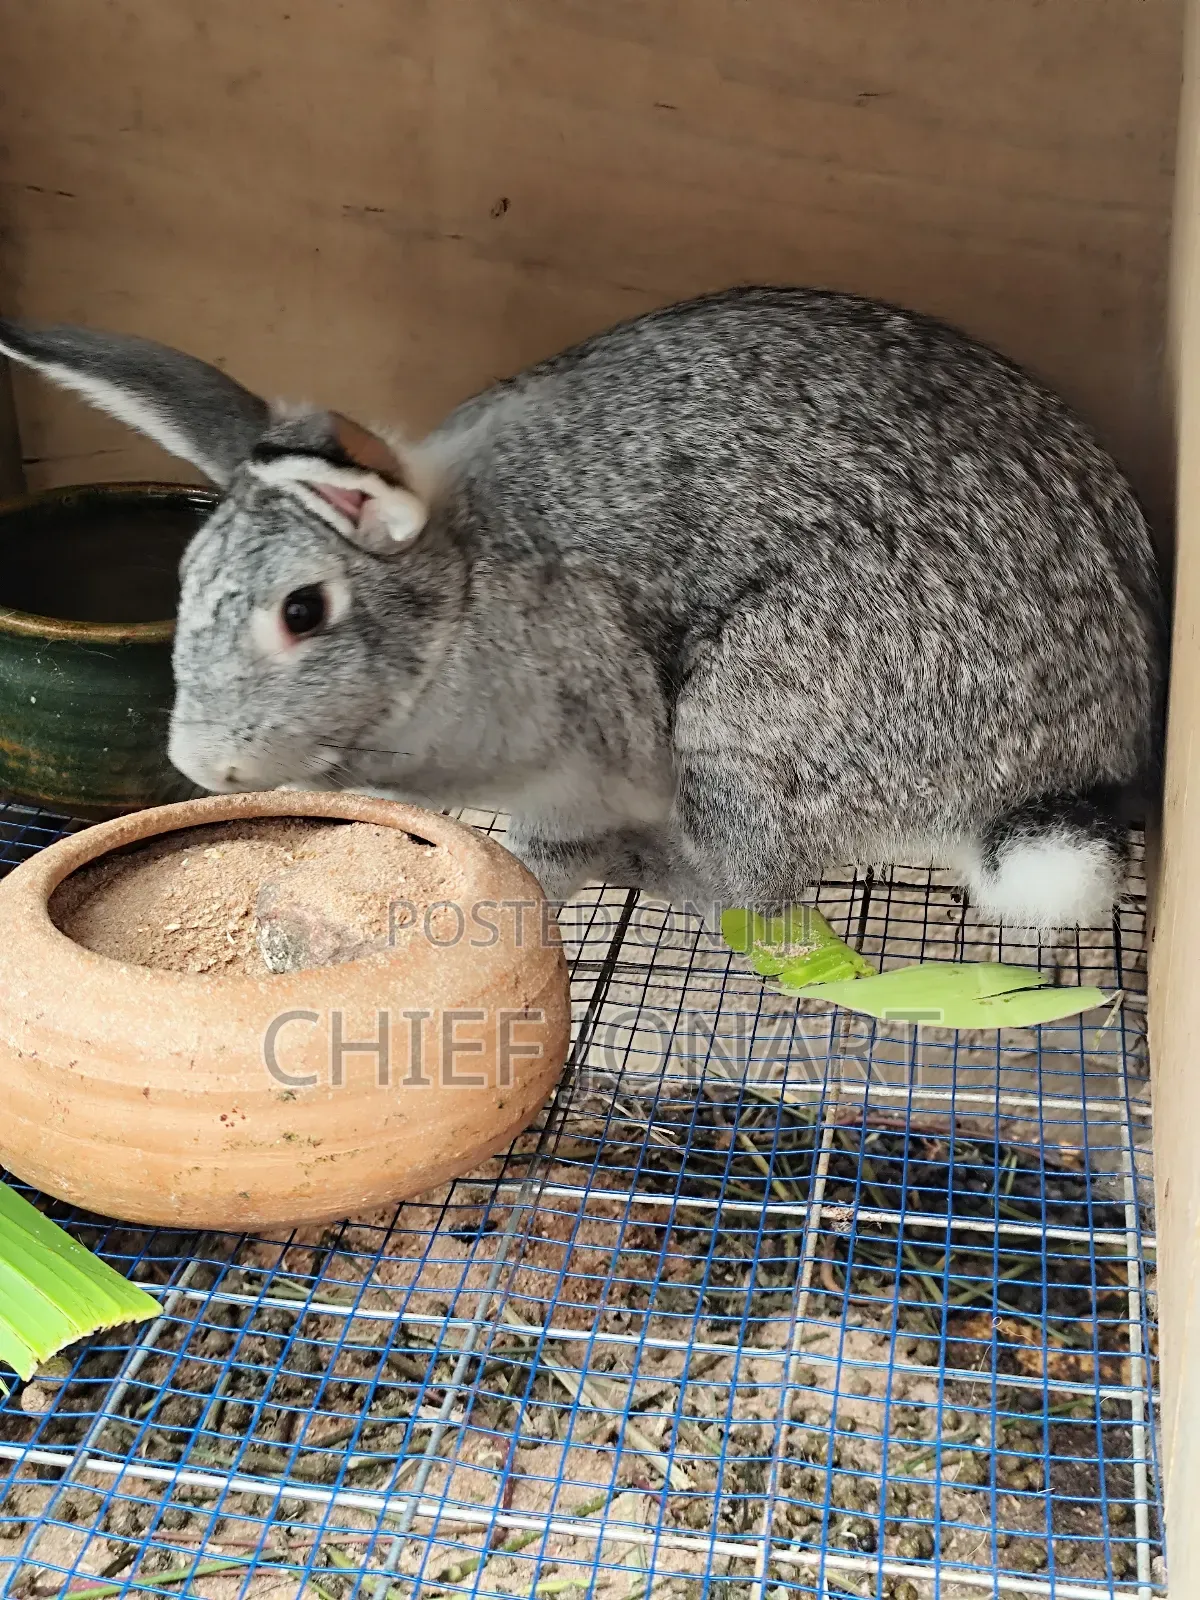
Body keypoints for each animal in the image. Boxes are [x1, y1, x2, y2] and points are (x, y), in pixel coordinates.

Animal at [0, 286, 1166, 930]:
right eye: (186, 581)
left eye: (302, 611)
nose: (205, 764)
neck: (463, 594)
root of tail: (1052, 782)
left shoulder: (585, 751)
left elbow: (550, 846)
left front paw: (527, 877)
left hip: (752, 717)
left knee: (749, 884)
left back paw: (657, 869)